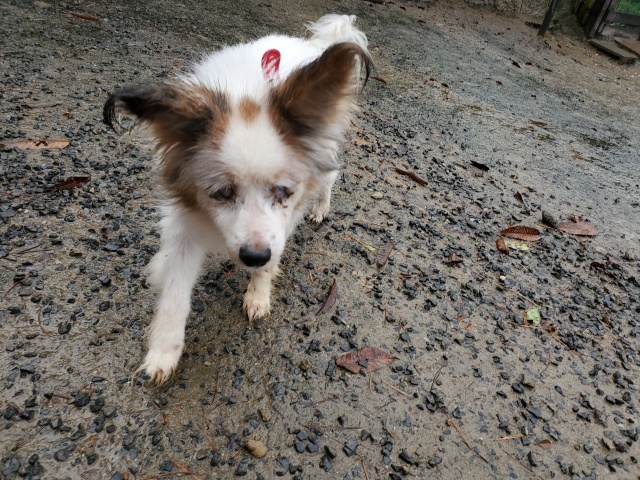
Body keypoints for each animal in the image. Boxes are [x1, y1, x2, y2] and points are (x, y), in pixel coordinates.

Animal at [103, 14, 371, 384]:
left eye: (284, 192)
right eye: (221, 193)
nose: (254, 256)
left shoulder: (282, 223)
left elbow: (272, 259)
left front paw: (258, 293)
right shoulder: (187, 222)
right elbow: (174, 289)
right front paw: (163, 349)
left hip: (326, 150)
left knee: (330, 179)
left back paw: (321, 208)